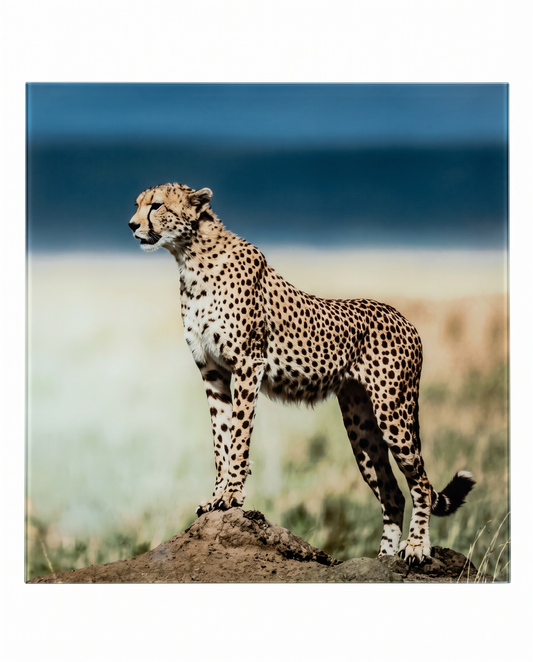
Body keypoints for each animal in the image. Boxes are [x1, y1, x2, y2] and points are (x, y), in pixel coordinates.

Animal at [128, 182, 475, 565]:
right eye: (138, 204)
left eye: (156, 205)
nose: (132, 225)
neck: (190, 256)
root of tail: (404, 318)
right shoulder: (212, 371)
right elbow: (221, 438)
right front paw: (216, 496)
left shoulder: (248, 364)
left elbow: (239, 436)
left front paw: (231, 494)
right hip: (361, 427)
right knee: (392, 493)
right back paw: (382, 557)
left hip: (393, 411)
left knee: (421, 483)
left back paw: (415, 547)